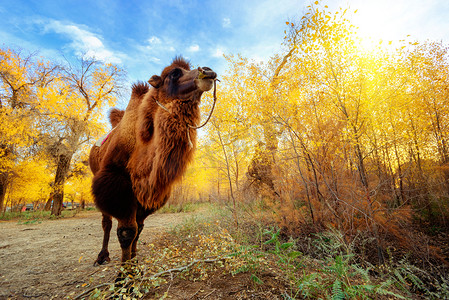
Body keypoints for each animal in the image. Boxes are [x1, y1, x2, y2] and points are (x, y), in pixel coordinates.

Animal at [88, 56, 217, 264]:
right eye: (174, 73)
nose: (208, 71)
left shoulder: (149, 191)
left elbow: (139, 229)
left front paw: (134, 263)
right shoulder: (117, 184)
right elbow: (127, 232)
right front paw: (125, 272)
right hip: (98, 177)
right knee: (106, 221)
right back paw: (102, 256)